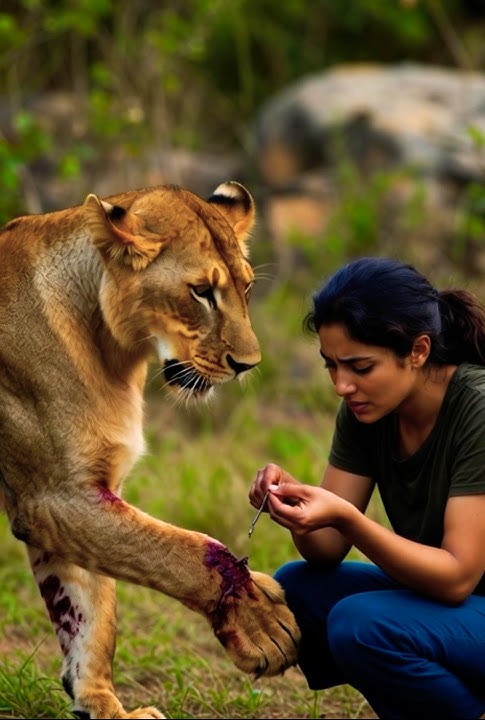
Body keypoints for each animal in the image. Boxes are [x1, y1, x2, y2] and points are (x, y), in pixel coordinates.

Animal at [0, 181, 300, 719]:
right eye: (201, 291)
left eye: (246, 287)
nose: (248, 365)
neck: (111, 351)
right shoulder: (55, 496)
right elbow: (183, 550)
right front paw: (261, 623)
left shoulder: (83, 494)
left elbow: (90, 615)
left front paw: (102, 707)